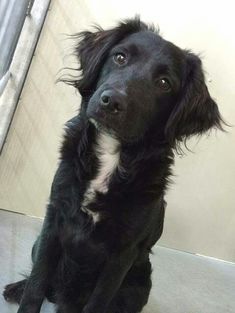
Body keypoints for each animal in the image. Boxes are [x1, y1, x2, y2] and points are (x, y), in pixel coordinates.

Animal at [4, 17, 224, 312]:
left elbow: (98, 301)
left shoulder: (122, 254)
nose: (111, 101)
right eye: (120, 57)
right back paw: (18, 287)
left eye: (164, 83)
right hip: (39, 244)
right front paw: (26, 292)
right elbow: (37, 284)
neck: (113, 156)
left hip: (140, 283)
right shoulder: (53, 222)